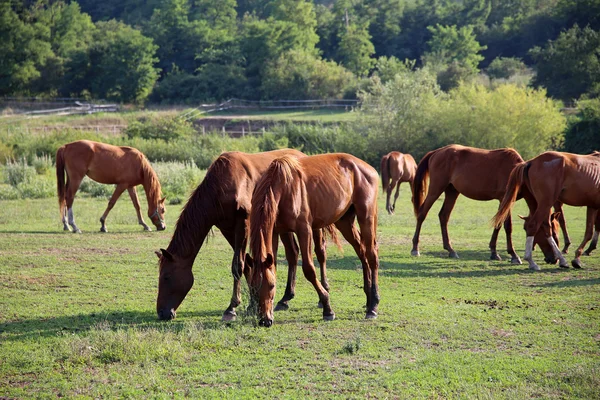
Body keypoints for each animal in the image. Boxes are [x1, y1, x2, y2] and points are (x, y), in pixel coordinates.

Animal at [156, 150, 332, 322]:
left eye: (166, 277)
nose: (162, 312)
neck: (222, 186)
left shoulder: (243, 223)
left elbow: (238, 265)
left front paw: (231, 308)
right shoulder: (227, 228)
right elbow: (247, 264)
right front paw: (252, 303)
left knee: (319, 251)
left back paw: (322, 295)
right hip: (283, 227)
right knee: (293, 253)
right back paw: (286, 298)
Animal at [245, 154, 378, 328]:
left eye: (272, 285)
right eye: (253, 287)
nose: (265, 320)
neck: (284, 186)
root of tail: (368, 168)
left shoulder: (304, 230)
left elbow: (309, 269)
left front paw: (327, 308)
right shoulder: (275, 232)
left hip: (366, 217)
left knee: (372, 255)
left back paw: (373, 305)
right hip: (344, 222)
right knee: (362, 252)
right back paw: (368, 299)